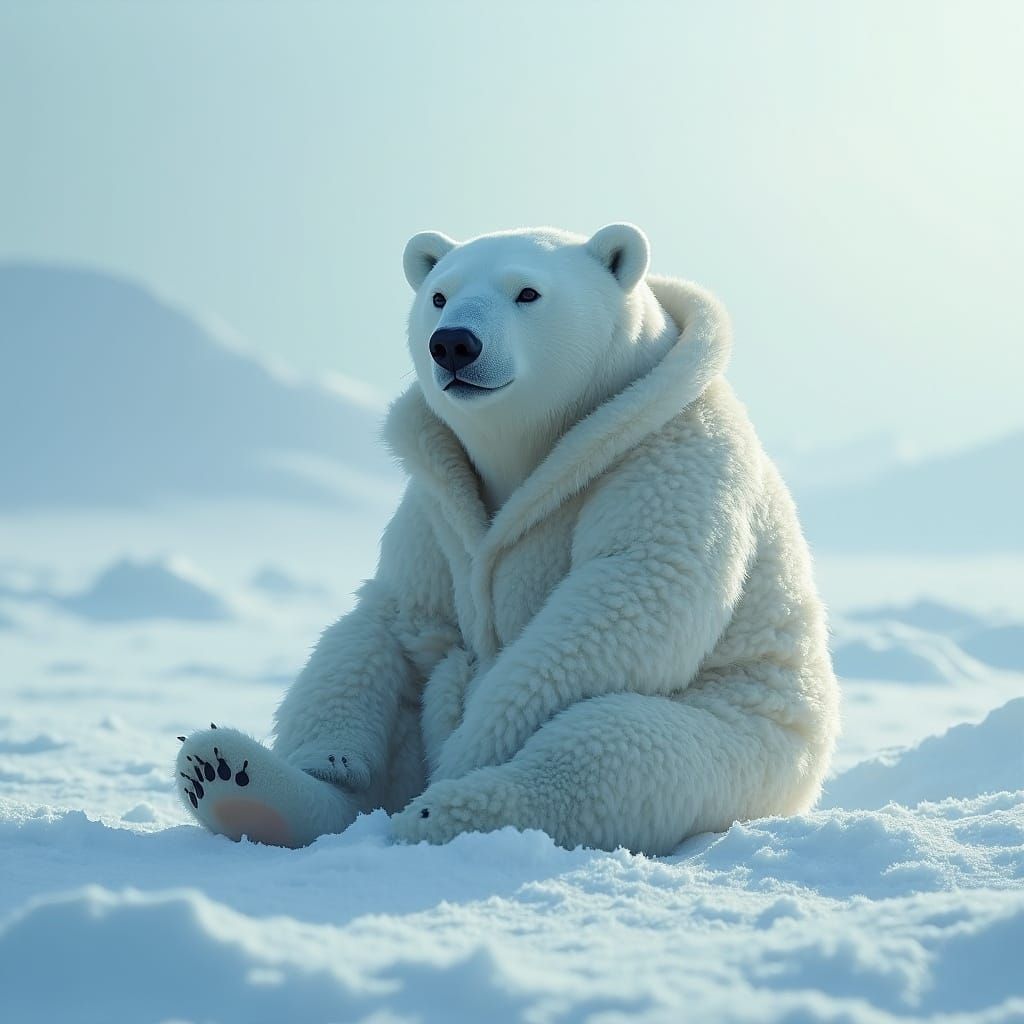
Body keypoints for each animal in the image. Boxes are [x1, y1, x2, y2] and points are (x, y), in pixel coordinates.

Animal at [174, 223, 840, 856]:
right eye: (439, 295)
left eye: (527, 292)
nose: (453, 343)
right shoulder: (439, 503)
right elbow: (398, 615)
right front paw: (315, 763)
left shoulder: (672, 452)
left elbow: (634, 594)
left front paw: (470, 752)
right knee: (374, 666)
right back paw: (232, 777)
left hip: (751, 738)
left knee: (618, 748)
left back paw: (439, 810)